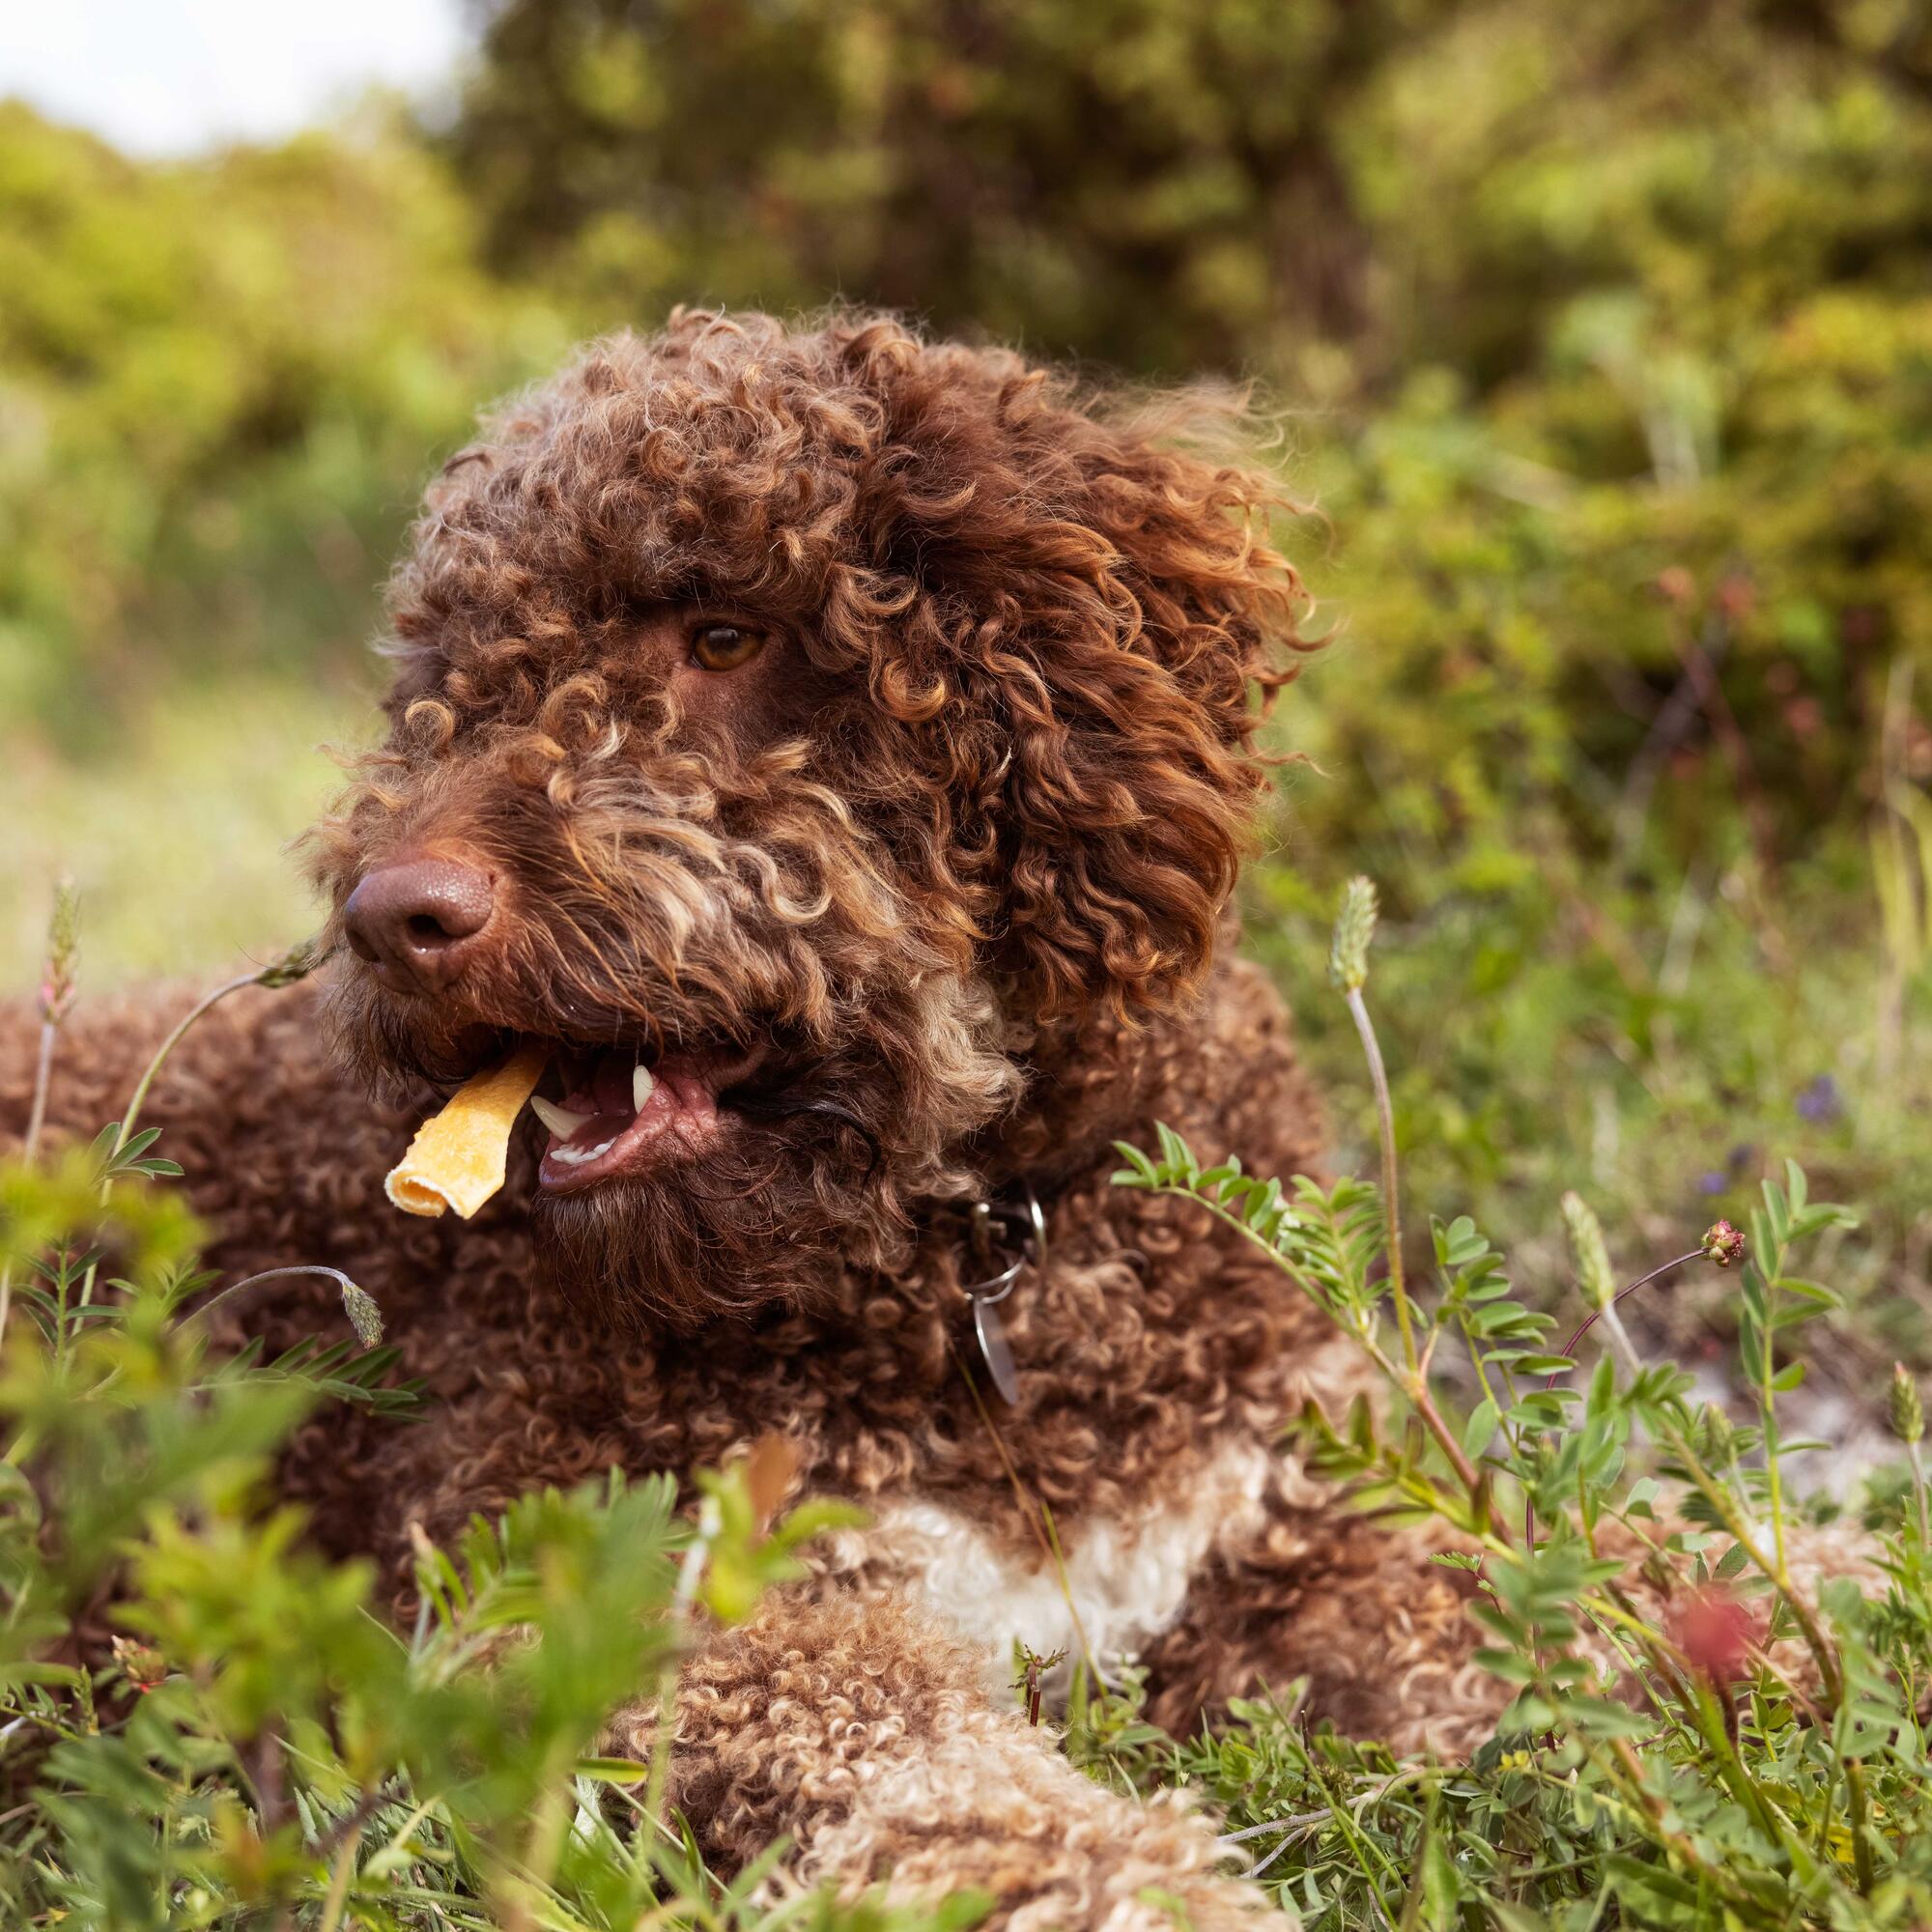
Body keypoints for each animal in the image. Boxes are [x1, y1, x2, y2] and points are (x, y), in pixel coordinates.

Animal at [3, 309, 1507, 1924]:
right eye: (455, 684)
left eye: (724, 634)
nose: (392, 918)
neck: (969, 1264)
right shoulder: (662, 1603)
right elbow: (930, 1775)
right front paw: (1138, 1888)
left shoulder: (1311, 1515)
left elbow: (1539, 1624)